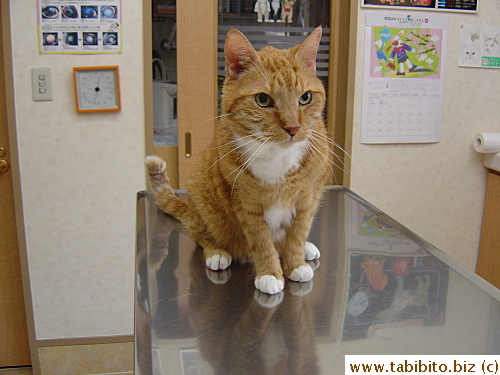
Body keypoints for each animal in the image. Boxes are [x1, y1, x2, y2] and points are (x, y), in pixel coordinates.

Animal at [146, 27, 328, 296]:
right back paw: (217, 253)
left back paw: (305, 247)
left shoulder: (307, 198)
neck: (277, 156)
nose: (293, 128)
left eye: (305, 98)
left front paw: (295, 263)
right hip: (202, 196)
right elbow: (261, 242)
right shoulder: (246, 203)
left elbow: (297, 233)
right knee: (201, 234)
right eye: (263, 100)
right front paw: (270, 274)